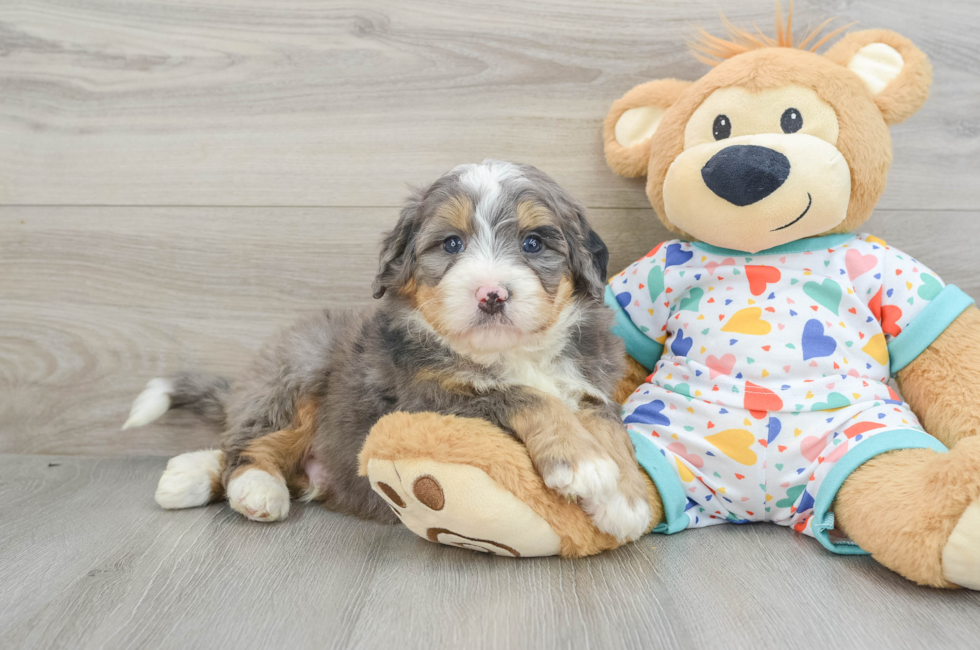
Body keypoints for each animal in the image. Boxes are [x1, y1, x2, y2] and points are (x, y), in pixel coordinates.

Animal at [126, 159, 656, 540]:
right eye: (451, 244)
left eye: (532, 243)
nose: (492, 294)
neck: (511, 353)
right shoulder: (431, 396)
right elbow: (527, 396)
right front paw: (583, 464)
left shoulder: (589, 384)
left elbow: (612, 429)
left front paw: (626, 500)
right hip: (300, 366)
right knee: (249, 445)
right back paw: (254, 490)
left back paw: (186, 475)